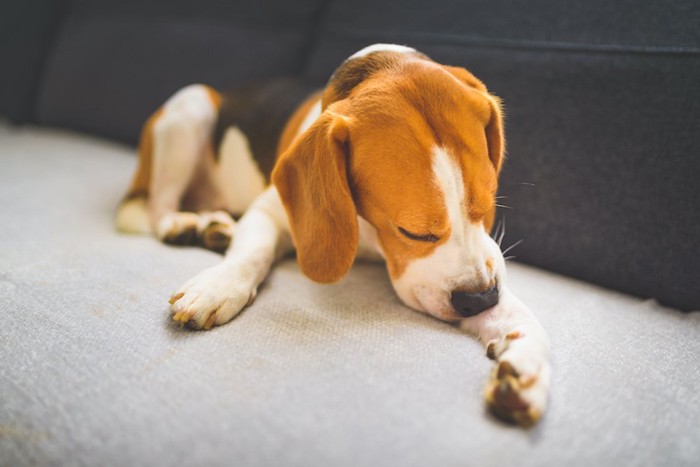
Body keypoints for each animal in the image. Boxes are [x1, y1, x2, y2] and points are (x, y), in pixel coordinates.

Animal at [116, 44, 552, 428]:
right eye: (413, 232)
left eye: (489, 206)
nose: (480, 300)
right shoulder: (268, 211)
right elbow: (252, 252)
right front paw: (219, 285)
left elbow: (517, 313)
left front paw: (526, 363)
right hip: (190, 106)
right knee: (155, 207)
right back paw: (185, 225)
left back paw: (213, 226)